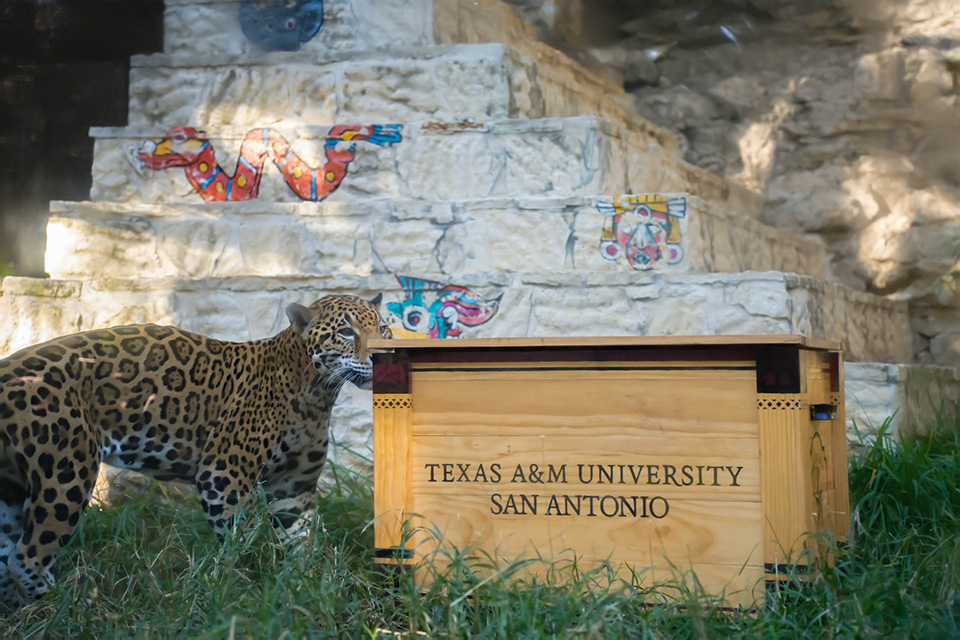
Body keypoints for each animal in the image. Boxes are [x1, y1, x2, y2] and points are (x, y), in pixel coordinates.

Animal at [0, 293, 391, 611]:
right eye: (346, 332)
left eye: (383, 329)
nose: (382, 354)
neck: (316, 394)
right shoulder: (224, 474)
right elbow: (244, 539)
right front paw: (247, 590)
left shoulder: (293, 488)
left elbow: (302, 542)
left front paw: (307, 587)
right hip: (66, 474)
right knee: (26, 557)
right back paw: (62, 606)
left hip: (13, 491)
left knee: (7, 557)